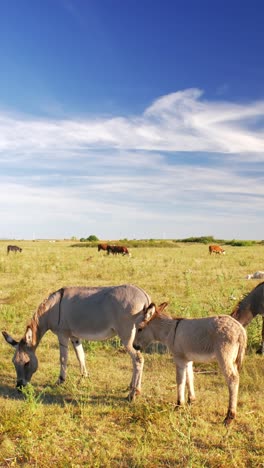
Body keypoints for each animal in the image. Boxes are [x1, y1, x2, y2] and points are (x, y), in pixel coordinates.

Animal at [2, 284, 151, 400]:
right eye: (13, 362)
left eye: (27, 363)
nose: (19, 388)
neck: (51, 310)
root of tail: (144, 296)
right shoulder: (74, 336)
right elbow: (81, 356)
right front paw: (84, 377)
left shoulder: (62, 335)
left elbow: (63, 358)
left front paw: (60, 381)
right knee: (136, 360)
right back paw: (132, 387)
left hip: (127, 337)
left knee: (138, 359)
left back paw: (134, 393)